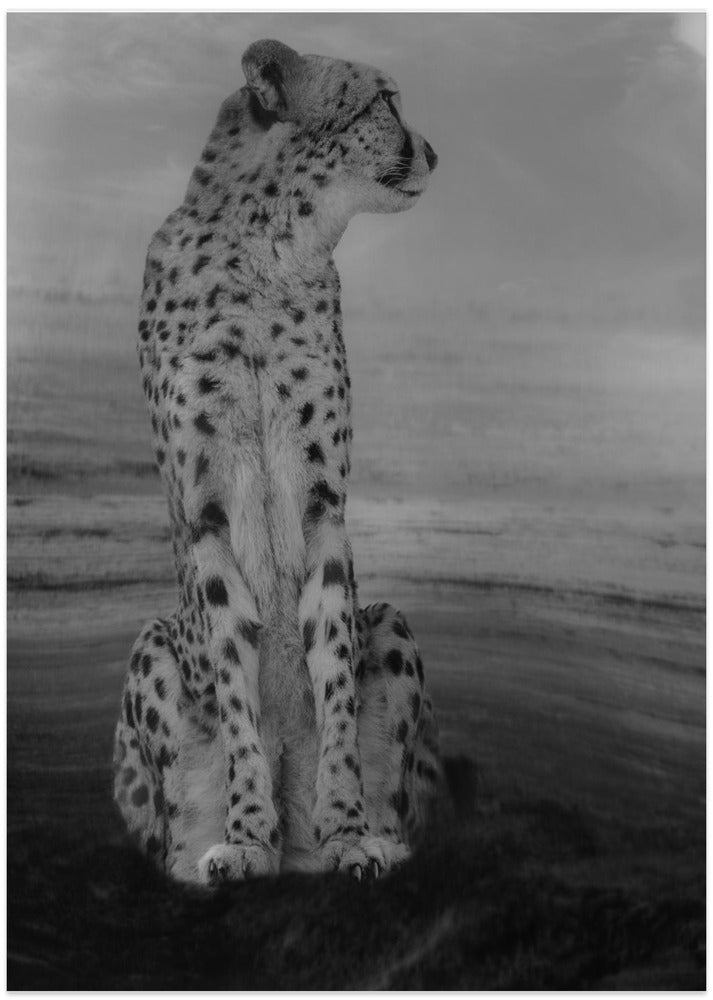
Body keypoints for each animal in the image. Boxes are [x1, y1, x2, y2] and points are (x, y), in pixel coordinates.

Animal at [113, 38, 441, 886]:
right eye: (384, 100)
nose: (432, 151)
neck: (270, 250)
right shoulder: (205, 515)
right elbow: (235, 672)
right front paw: (247, 834)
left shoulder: (324, 501)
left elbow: (331, 668)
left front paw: (347, 830)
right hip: (151, 642)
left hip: (391, 621)